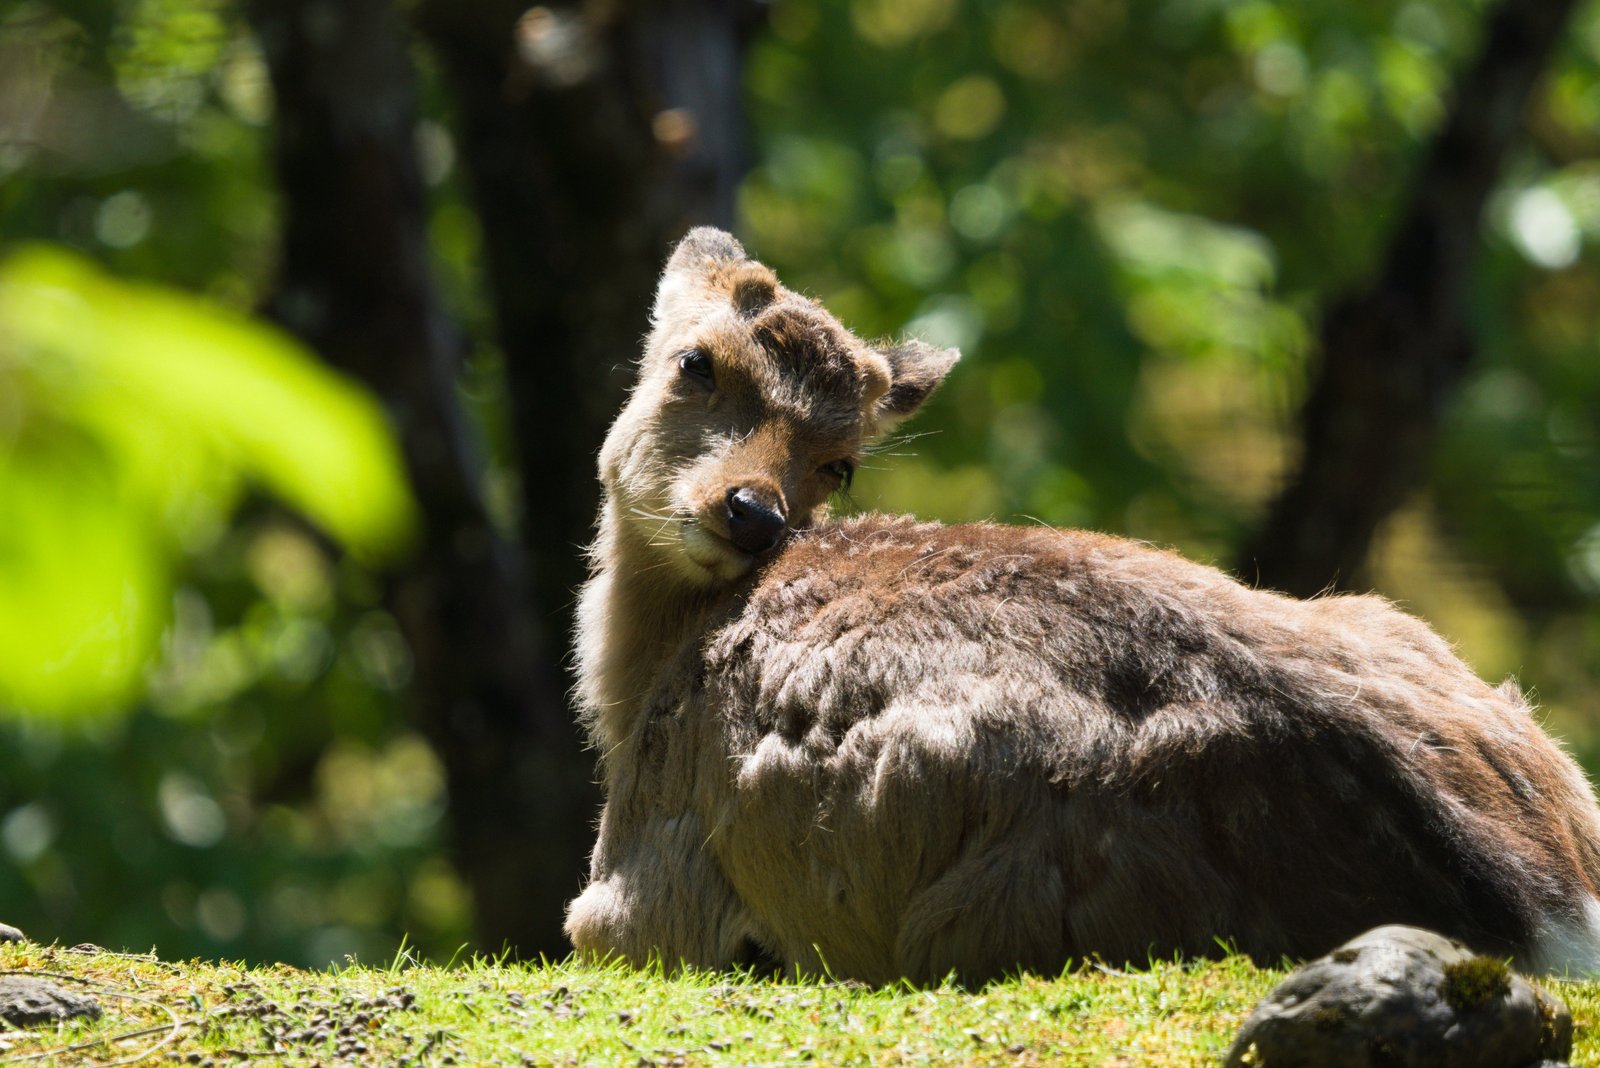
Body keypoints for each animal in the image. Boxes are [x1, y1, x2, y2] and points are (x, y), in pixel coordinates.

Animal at [563, 226, 1600, 985]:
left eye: (842, 461)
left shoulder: (645, 875)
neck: (639, 685)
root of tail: (1548, 914)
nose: (752, 513)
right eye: (695, 362)